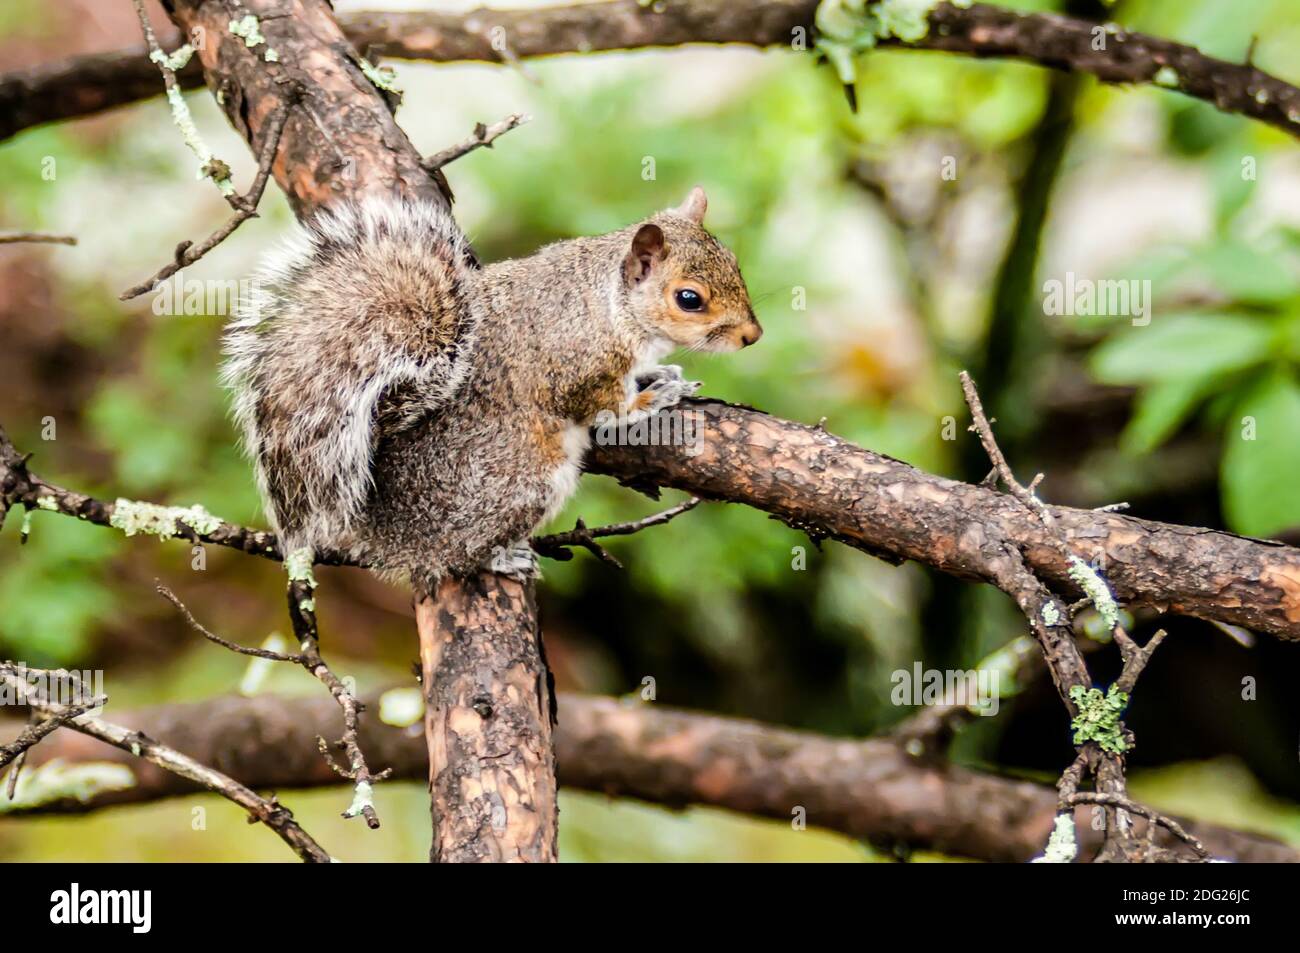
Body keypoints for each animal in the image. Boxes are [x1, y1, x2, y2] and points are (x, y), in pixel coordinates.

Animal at [218, 187, 759, 590]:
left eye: (735, 263)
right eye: (688, 299)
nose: (752, 336)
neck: (610, 304)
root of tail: (384, 531)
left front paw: (660, 376)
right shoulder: (576, 370)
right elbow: (607, 410)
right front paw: (650, 398)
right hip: (524, 481)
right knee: (452, 558)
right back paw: (498, 559)